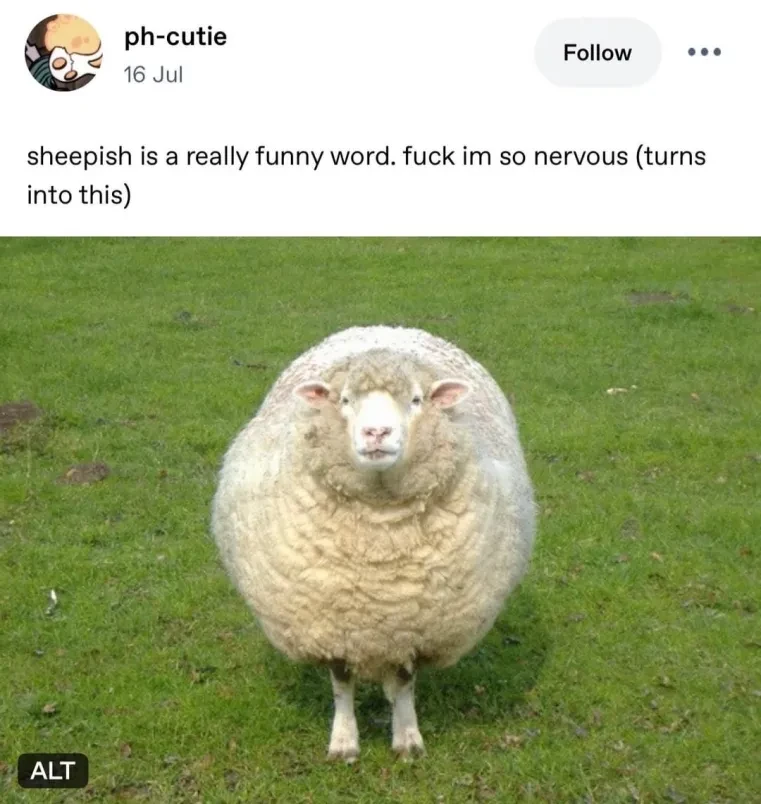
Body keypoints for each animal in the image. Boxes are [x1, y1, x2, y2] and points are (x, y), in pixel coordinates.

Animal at [212, 325, 535, 761]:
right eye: (345, 400)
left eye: (416, 399)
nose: (377, 432)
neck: (378, 545)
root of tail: (386, 327)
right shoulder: (332, 623)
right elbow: (342, 686)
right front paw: (344, 742)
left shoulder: (411, 624)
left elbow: (404, 683)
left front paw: (408, 739)